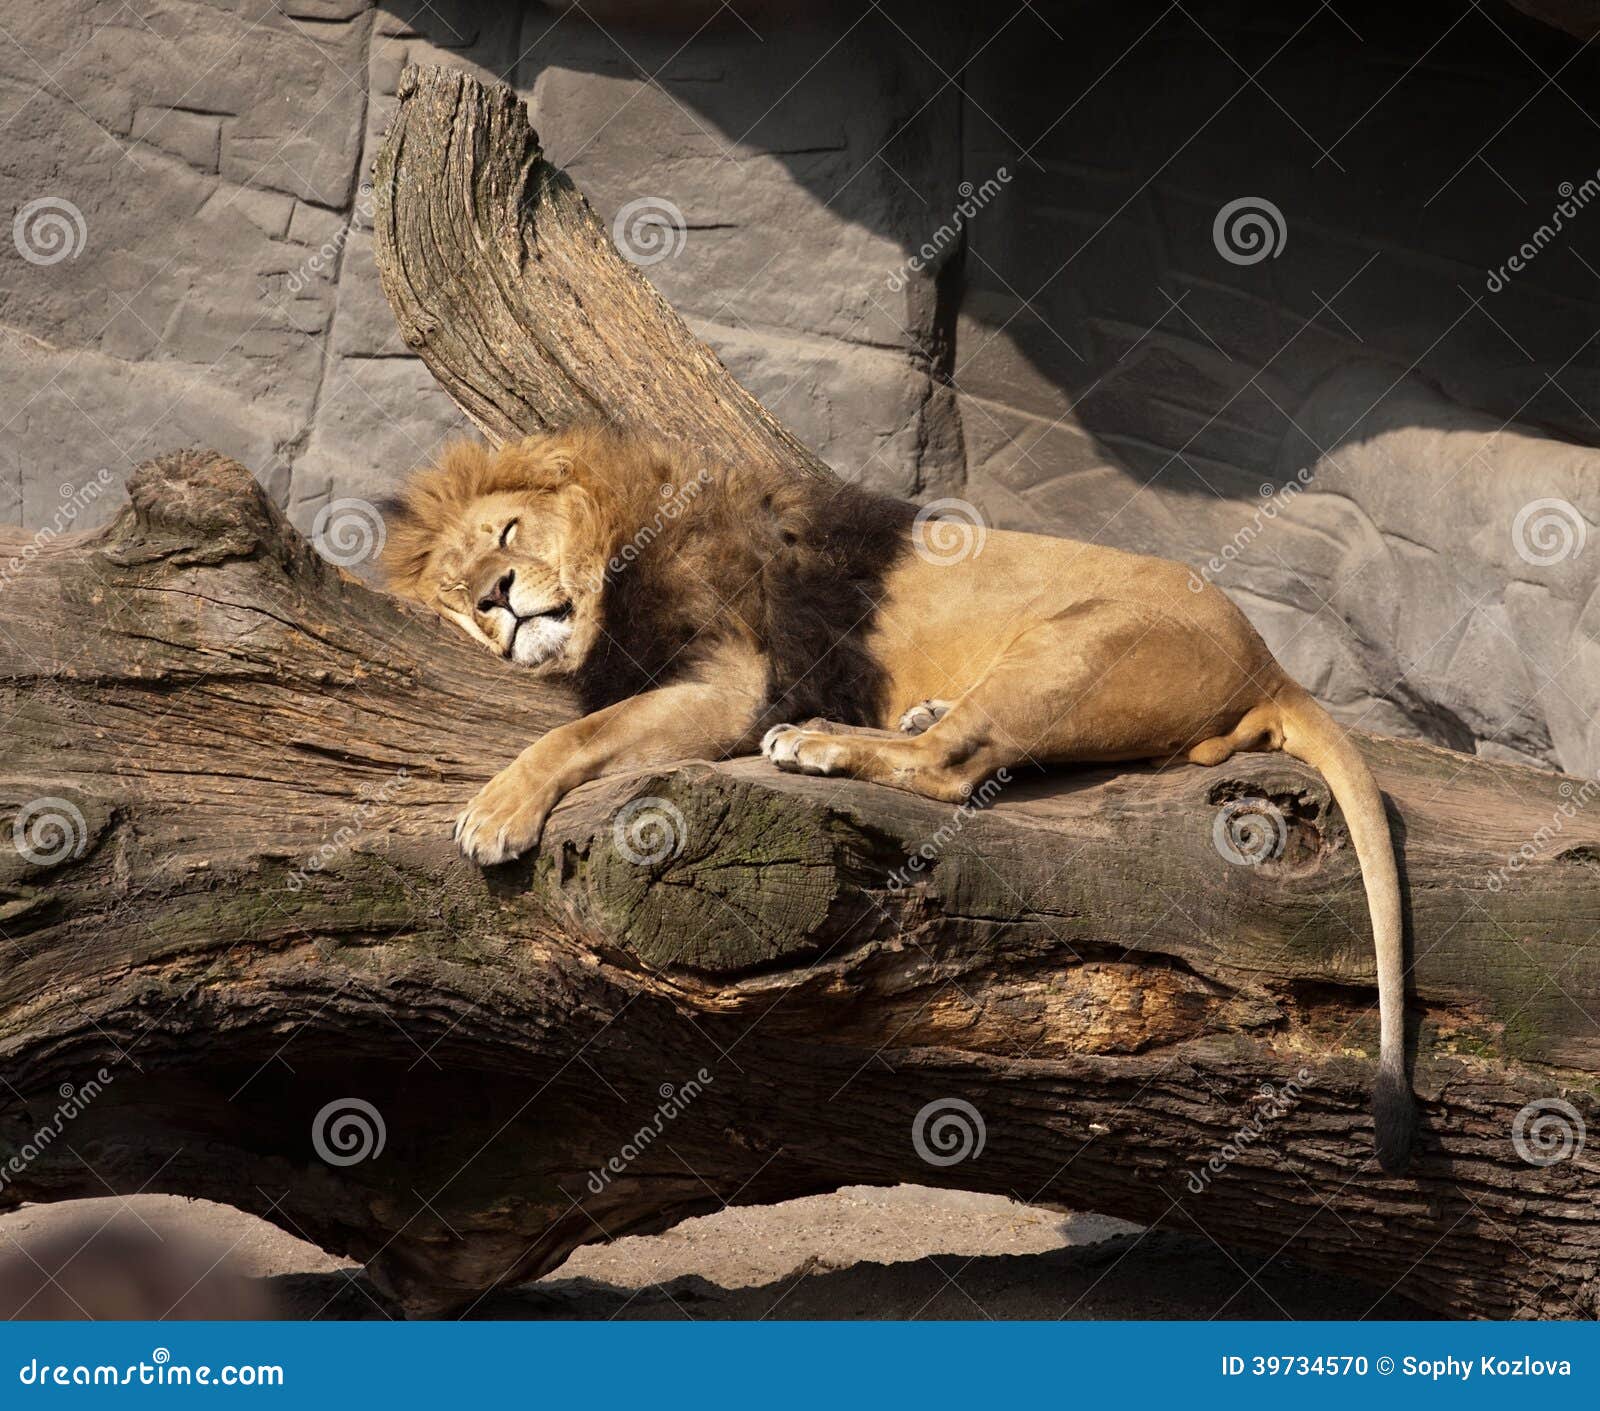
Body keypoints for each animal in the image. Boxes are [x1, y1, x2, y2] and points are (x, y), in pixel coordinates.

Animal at [380, 422, 1420, 1171]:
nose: (498, 596)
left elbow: (577, 731)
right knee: (956, 745)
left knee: (950, 764)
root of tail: (1269, 659)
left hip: (1071, 640)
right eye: (456, 594)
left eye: (508, 535)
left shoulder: (733, 679)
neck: (618, 559)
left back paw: (818, 742)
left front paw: (494, 811)